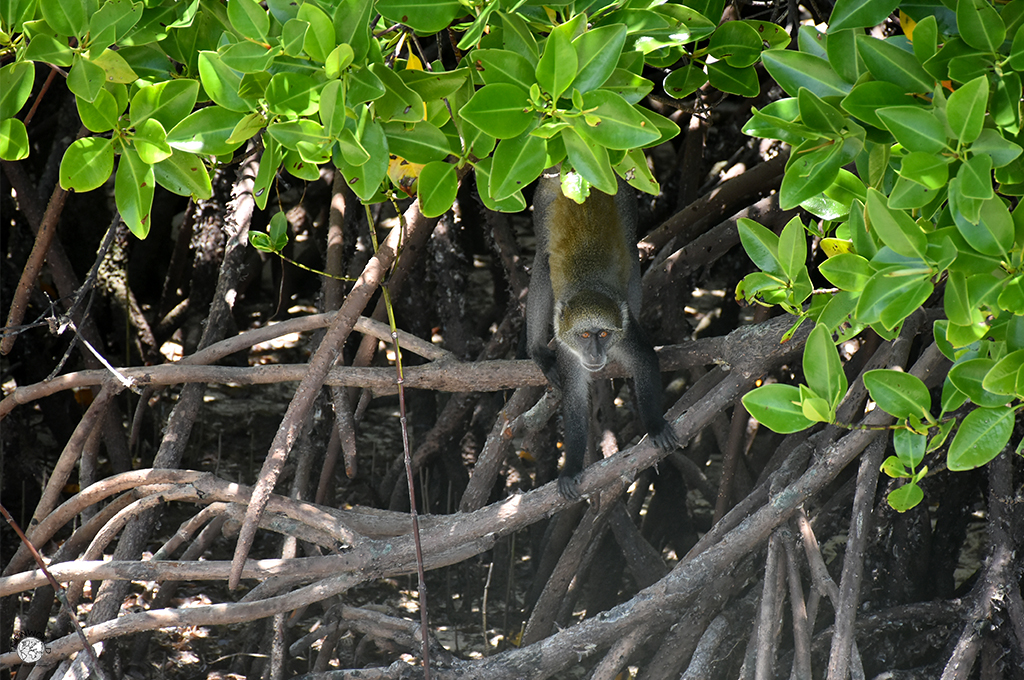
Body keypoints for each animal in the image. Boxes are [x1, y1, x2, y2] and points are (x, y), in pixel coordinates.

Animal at [527, 167, 678, 500]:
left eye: (604, 335)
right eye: (585, 336)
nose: (595, 354)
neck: (589, 285)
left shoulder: (625, 332)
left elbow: (645, 361)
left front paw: (655, 425)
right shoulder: (568, 348)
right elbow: (574, 397)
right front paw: (571, 467)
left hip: (623, 192)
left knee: (631, 254)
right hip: (543, 197)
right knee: (542, 260)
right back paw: (537, 350)